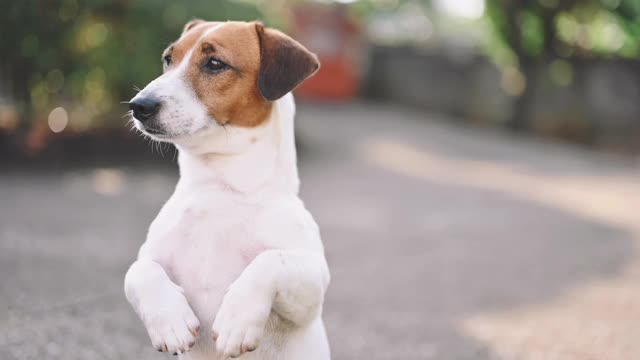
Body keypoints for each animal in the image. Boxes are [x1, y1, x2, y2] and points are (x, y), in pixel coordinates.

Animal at [125, 20, 332, 360]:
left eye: (214, 63)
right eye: (168, 59)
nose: (139, 106)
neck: (218, 189)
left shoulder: (312, 288)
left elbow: (271, 260)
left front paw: (238, 319)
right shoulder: (150, 256)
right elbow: (139, 271)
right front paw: (170, 322)